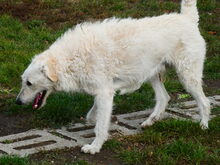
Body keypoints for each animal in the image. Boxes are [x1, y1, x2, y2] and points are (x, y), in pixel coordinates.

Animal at [15, 0, 210, 154]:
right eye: (23, 81)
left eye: (29, 83)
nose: (17, 102)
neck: (70, 59)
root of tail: (187, 18)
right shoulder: (103, 93)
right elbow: (93, 117)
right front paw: (99, 122)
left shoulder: (104, 93)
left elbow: (100, 126)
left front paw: (94, 147)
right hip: (152, 75)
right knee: (164, 98)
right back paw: (150, 121)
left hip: (187, 78)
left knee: (204, 102)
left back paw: (204, 125)